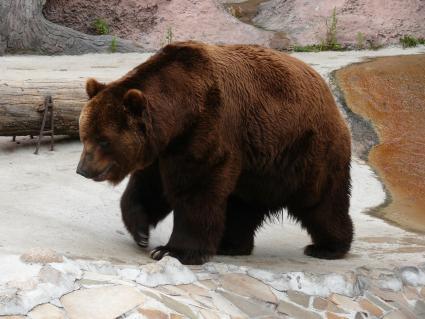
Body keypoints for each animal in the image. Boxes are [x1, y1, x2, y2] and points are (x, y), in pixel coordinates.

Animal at [76, 40, 352, 264]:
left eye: (104, 141)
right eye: (84, 135)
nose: (83, 169)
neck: (180, 113)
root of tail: (329, 96)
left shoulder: (207, 129)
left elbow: (195, 190)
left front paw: (171, 250)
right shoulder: (162, 149)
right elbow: (148, 187)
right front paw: (141, 231)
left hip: (304, 149)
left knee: (321, 200)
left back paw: (327, 247)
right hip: (256, 164)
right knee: (242, 204)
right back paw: (231, 244)